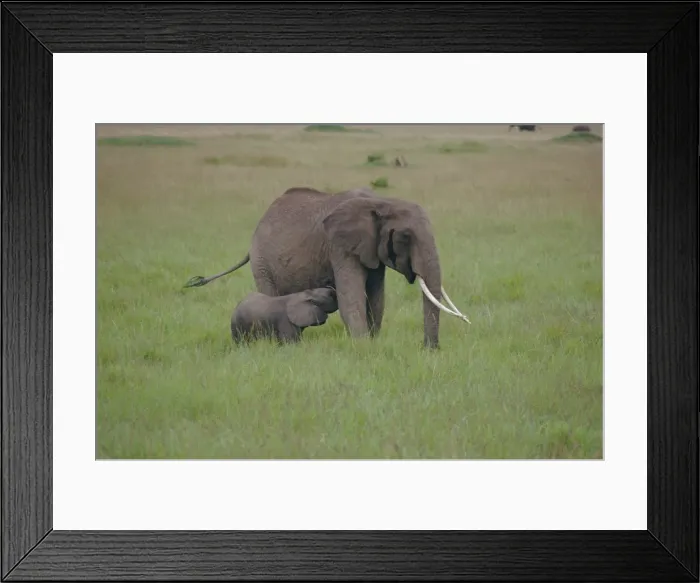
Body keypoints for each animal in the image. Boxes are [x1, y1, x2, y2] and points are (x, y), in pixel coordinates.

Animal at [184, 186, 469, 349]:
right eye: (406, 237)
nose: (429, 350)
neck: (382, 202)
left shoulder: (371, 247)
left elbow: (376, 298)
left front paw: (372, 343)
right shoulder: (339, 245)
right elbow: (351, 297)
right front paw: (363, 349)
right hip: (262, 260)